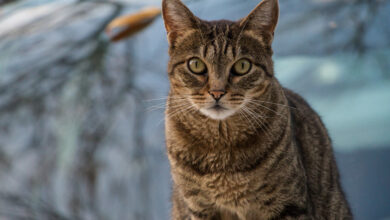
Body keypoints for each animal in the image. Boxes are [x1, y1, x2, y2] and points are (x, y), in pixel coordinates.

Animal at [161, 0, 354, 217]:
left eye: (242, 66)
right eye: (196, 64)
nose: (217, 92)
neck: (221, 149)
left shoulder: (288, 205)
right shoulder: (200, 208)